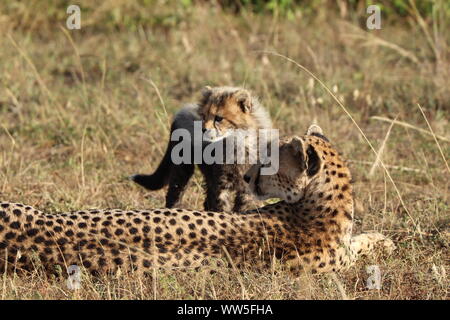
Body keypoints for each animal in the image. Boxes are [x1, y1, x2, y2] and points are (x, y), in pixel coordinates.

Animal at [0, 125, 394, 276]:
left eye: (268, 161)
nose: (247, 177)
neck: (325, 205)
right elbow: (360, 243)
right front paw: (384, 241)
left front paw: (382, 240)